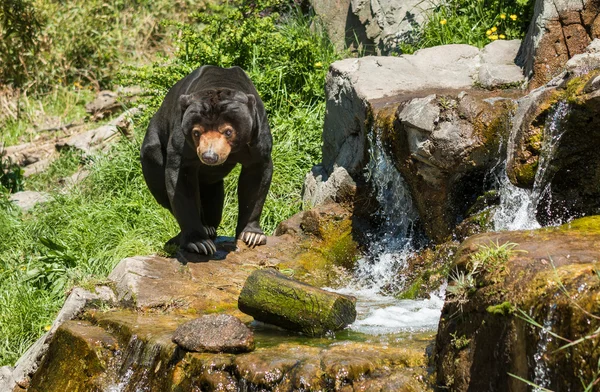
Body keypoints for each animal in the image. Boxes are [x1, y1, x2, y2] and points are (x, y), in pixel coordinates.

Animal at [141, 65, 272, 254]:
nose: (209, 156)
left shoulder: (257, 137)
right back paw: (201, 230)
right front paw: (199, 243)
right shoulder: (182, 141)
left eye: (228, 131)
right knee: (159, 181)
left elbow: (256, 177)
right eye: (196, 132)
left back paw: (210, 227)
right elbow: (180, 181)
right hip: (152, 150)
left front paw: (252, 236)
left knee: (213, 194)